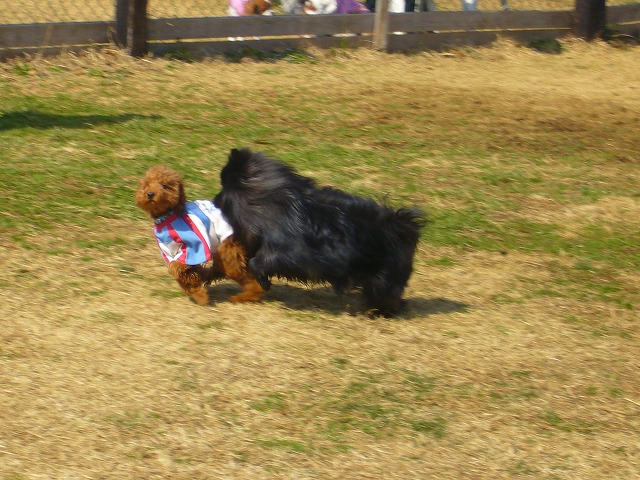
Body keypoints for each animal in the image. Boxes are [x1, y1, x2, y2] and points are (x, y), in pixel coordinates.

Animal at [135, 165, 265, 306]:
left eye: (164, 186)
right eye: (147, 184)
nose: (150, 194)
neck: (168, 216)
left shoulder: (195, 246)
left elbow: (177, 267)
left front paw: (200, 296)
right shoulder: (168, 251)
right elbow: (179, 270)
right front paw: (197, 292)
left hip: (229, 250)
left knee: (244, 277)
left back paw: (245, 297)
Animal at [214, 148, 425, 316]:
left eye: (223, 187)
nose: (214, 200)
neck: (267, 200)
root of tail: (403, 229)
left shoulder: (286, 254)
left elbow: (257, 262)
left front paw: (263, 282)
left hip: (381, 281)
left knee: (388, 296)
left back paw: (380, 311)